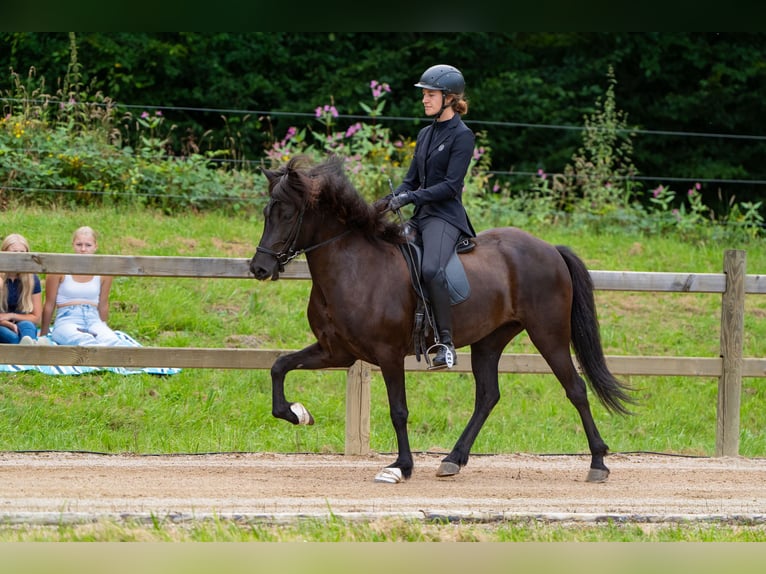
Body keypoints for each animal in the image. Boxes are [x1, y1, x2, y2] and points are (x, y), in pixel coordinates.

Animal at [252, 155, 636, 484]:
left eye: (288, 214)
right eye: (267, 212)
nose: (260, 268)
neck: (353, 267)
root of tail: (550, 249)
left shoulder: (388, 354)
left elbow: (398, 410)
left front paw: (401, 466)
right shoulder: (337, 351)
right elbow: (279, 365)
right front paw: (296, 413)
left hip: (548, 334)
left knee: (576, 389)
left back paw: (598, 463)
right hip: (490, 340)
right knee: (488, 396)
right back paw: (453, 459)